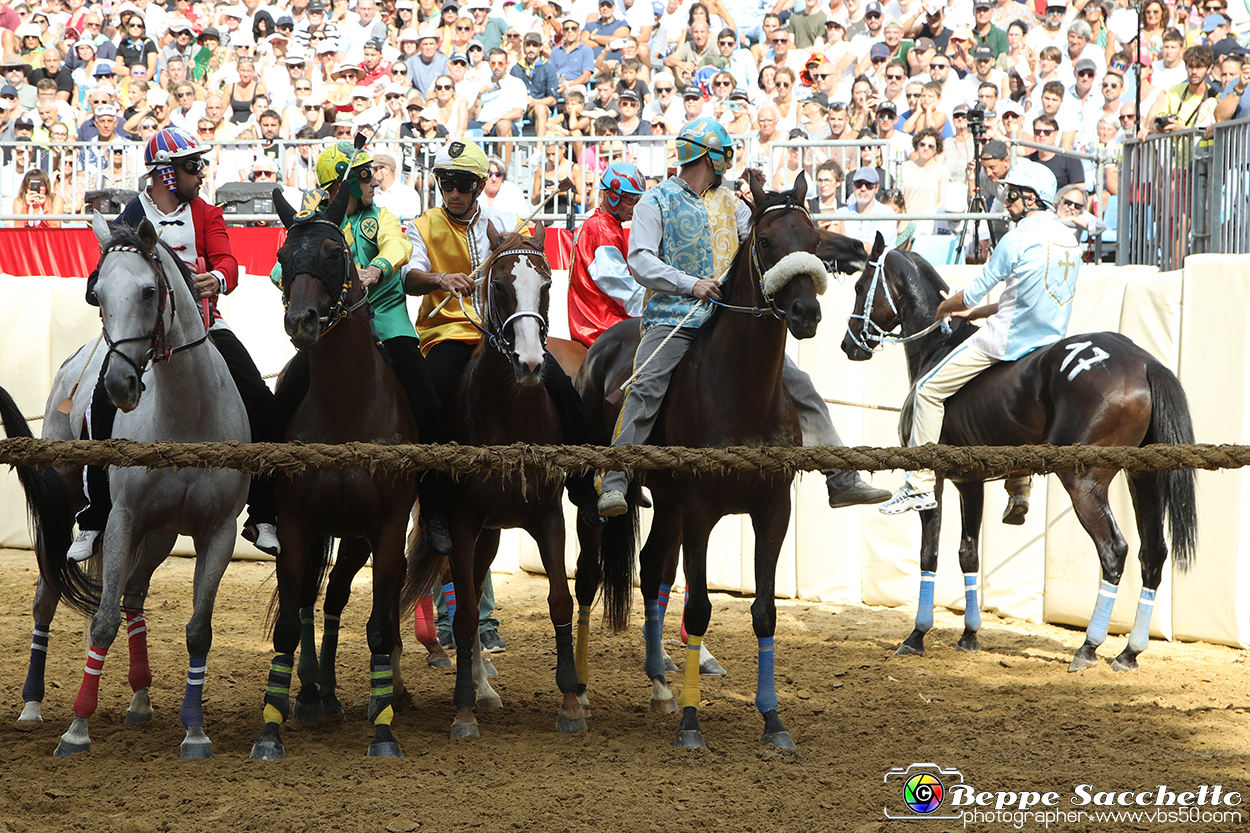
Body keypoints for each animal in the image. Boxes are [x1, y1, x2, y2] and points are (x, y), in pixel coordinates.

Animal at [33, 215, 248, 760]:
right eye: (97, 293)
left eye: (150, 291)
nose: (118, 386)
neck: (186, 417)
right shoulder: (124, 521)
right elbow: (103, 620)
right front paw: (76, 730)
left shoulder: (217, 532)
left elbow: (198, 630)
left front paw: (194, 732)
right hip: (71, 509)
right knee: (49, 596)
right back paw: (31, 706)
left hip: (161, 535)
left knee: (133, 596)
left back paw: (141, 699)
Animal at [250, 183, 420, 760]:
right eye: (283, 256)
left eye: (332, 252)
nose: (301, 321)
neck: (349, 406)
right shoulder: (296, 523)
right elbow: (287, 623)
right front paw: (271, 727)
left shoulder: (386, 528)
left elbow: (377, 626)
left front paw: (385, 727)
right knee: (310, 599)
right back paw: (309, 693)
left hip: (356, 537)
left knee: (341, 599)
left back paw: (333, 692)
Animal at [405, 218, 590, 735]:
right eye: (502, 286)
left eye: (546, 286)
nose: (530, 363)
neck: (511, 414)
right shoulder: (463, 522)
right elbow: (466, 615)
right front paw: (463, 709)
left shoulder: (547, 517)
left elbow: (560, 600)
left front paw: (570, 702)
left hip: (489, 535)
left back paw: (484, 686)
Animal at [590, 175, 855, 745]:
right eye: (768, 242)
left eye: (815, 241)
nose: (806, 314)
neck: (741, 393)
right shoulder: (700, 511)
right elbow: (700, 607)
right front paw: (692, 723)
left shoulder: (772, 509)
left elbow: (765, 612)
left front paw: (773, 719)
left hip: (667, 504)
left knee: (653, 566)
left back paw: (660, 683)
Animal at [845, 233, 1195, 670]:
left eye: (860, 286)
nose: (848, 344)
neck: (938, 347)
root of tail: (1144, 362)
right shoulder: (970, 481)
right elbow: (968, 554)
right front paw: (969, 635)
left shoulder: (937, 478)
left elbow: (929, 554)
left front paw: (917, 634)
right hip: (1143, 478)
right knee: (1153, 553)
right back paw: (1129, 652)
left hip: (1083, 482)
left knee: (1114, 551)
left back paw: (1089, 646)